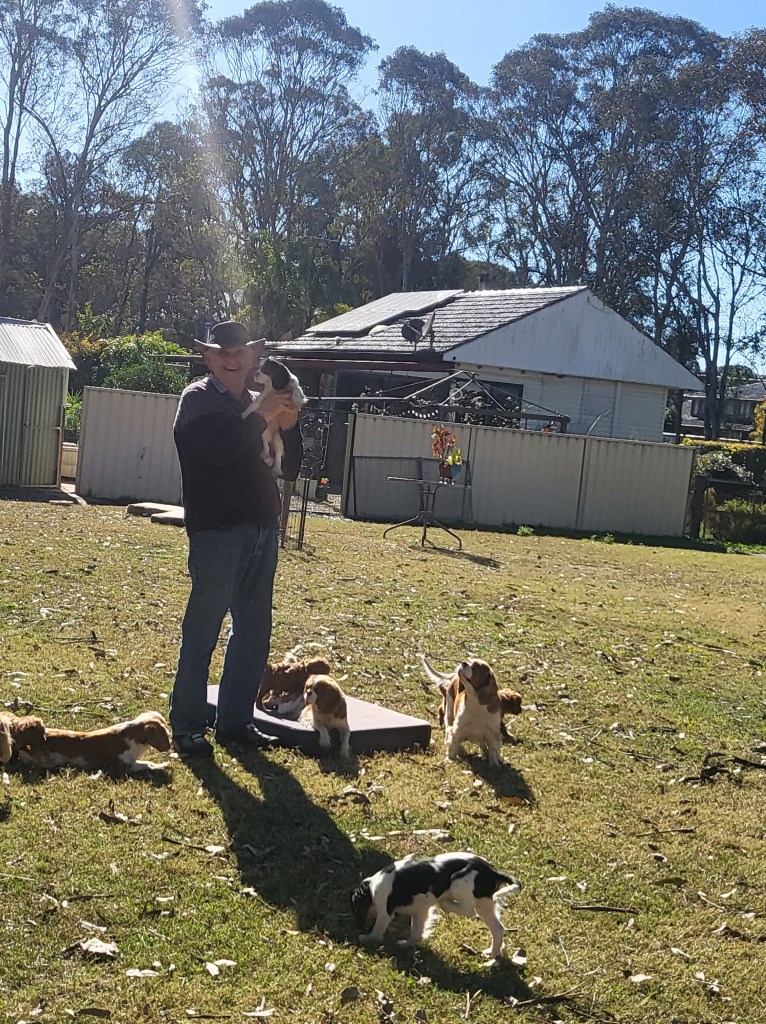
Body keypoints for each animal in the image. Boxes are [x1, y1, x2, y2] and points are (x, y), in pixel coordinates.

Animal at [19, 711, 171, 773]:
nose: (170, 746)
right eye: (164, 733)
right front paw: (162, 766)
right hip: (49, 760)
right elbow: (146, 764)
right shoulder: (121, 766)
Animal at [351, 852, 521, 958]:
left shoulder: (384, 912)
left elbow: (377, 932)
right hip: (485, 903)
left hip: (459, 883)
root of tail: (493, 871)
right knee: (498, 928)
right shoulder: (420, 911)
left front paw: (366, 938)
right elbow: (416, 933)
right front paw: (407, 945)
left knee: (469, 910)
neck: (372, 886)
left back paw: (446, 903)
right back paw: (493, 953)